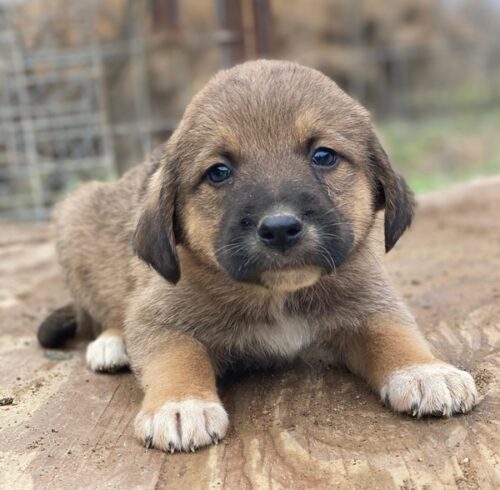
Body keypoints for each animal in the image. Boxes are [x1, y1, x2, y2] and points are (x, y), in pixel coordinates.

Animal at [38, 60, 478, 453]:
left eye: (323, 155)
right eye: (218, 172)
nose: (280, 227)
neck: (277, 295)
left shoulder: (367, 300)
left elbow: (394, 333)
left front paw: (426, 371)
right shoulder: (158, 316)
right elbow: (177, 356)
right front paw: (181, 406)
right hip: (75, 224)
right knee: (101, 312)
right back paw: (111, 343)